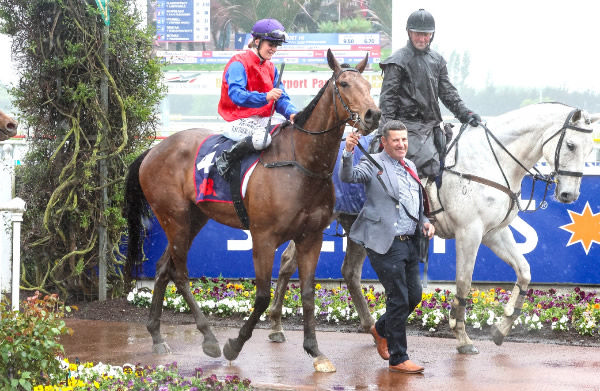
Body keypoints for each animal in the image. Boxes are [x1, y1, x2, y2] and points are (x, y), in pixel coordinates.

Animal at [124, 49, 382, 374]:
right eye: (345, 84)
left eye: (369, 86)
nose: (373, 115)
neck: (301, 164)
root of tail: (152, 150)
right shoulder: (263, 238)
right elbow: (261, 296)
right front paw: (234, 345)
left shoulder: (311, 237)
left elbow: (307, 294)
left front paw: (315, 350)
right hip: (175, 217)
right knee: (179, 273)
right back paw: (209, 337)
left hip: (192, 219)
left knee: (162, 268)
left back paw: (157, 335)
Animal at [270, 102, 596, 354]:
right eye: (570, 145)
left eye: (589, 149)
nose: (569, 194)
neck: (491, 159)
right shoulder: (470, 233)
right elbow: (463, 283)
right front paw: (462, 336)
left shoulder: (494, 233)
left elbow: (525, 272)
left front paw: (502, 328)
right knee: (290, 264)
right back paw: (276, 325)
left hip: (353, 226)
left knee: (343, 271)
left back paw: (365, 327)